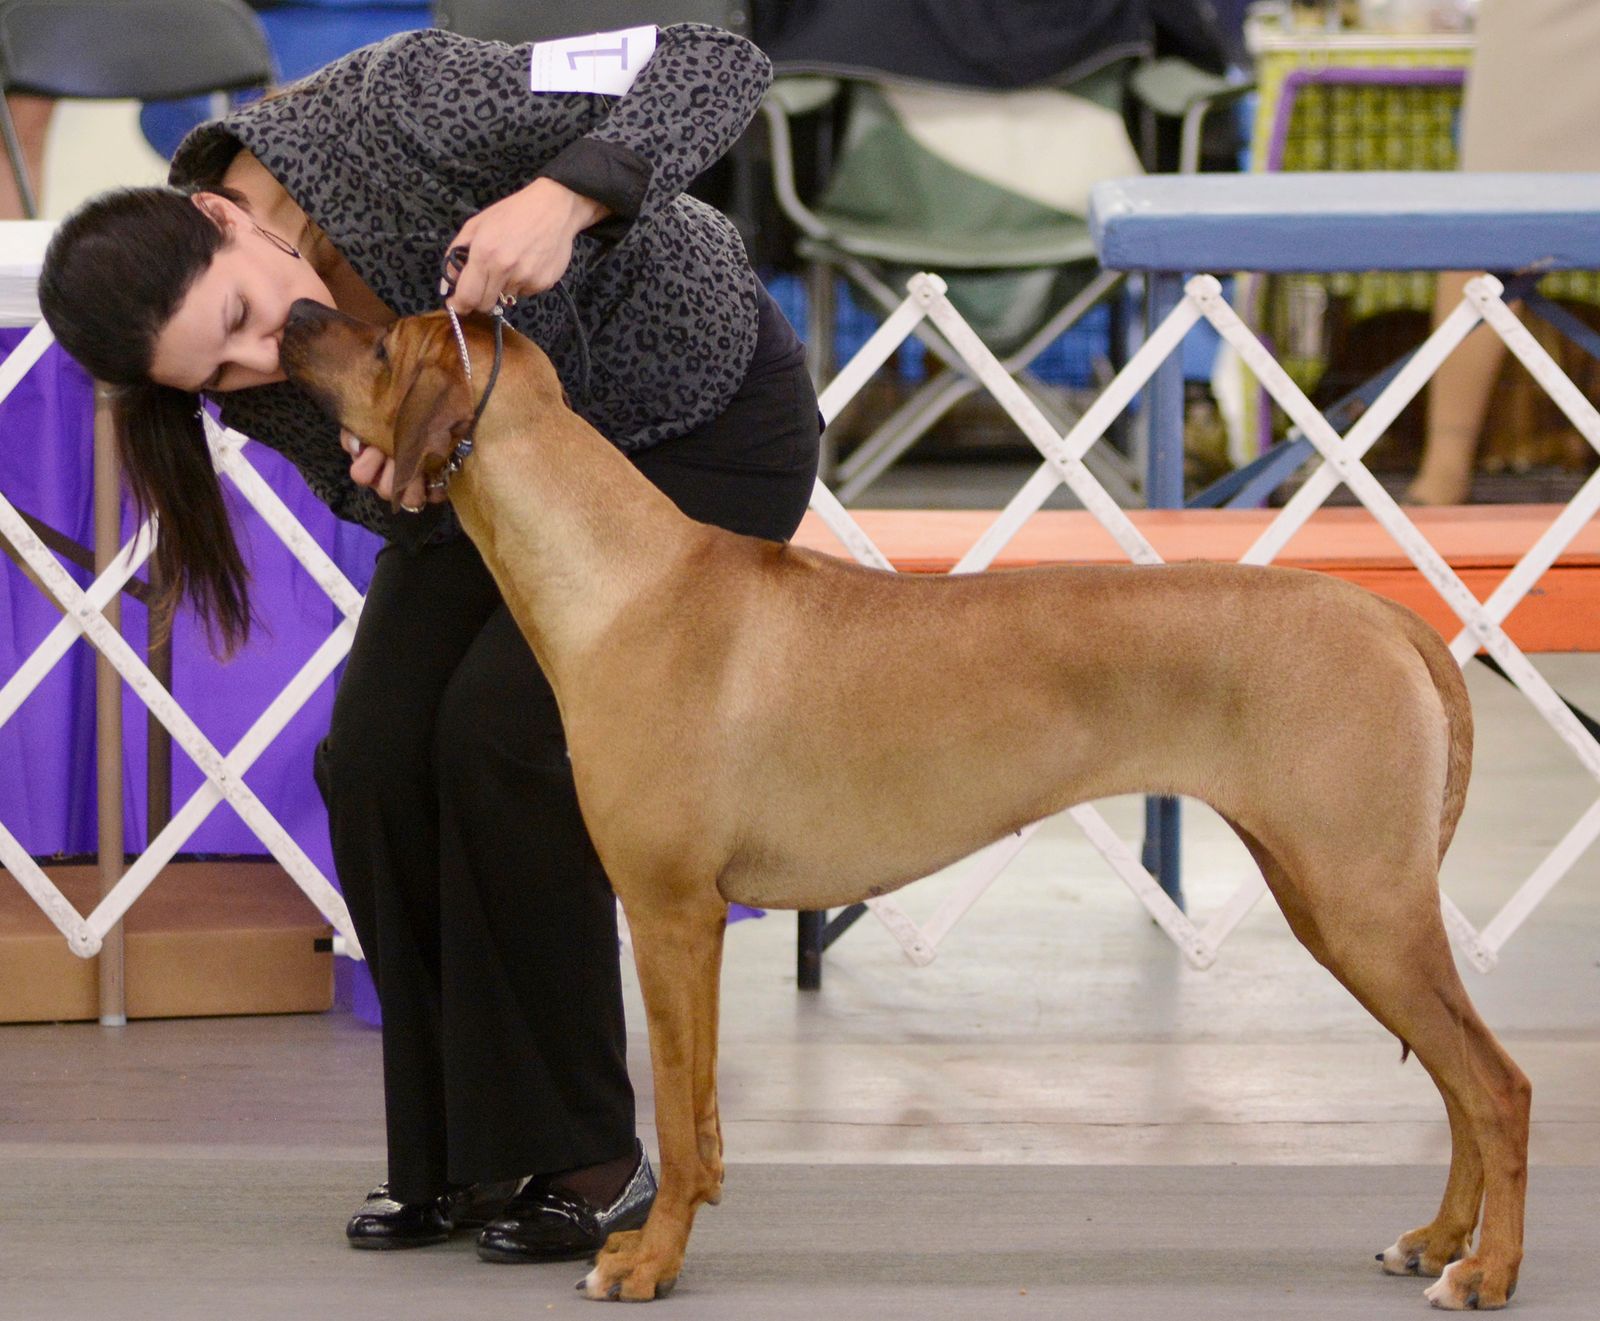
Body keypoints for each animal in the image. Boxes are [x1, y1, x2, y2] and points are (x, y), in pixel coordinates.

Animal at [280, 302, 1530, 1310]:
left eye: (381, 343)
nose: (293, 312)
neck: (622, 579)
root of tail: (1387, 617)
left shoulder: (671, 909)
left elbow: (675, 1118)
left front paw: (648, 1263)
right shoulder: (689, 921)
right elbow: (704, 1125)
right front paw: (668, 1234)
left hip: (1360, 901)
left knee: (1496, 1085)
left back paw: (1488, 1272)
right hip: (1332, 900)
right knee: (1460, 1082)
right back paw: (1436, 1240)